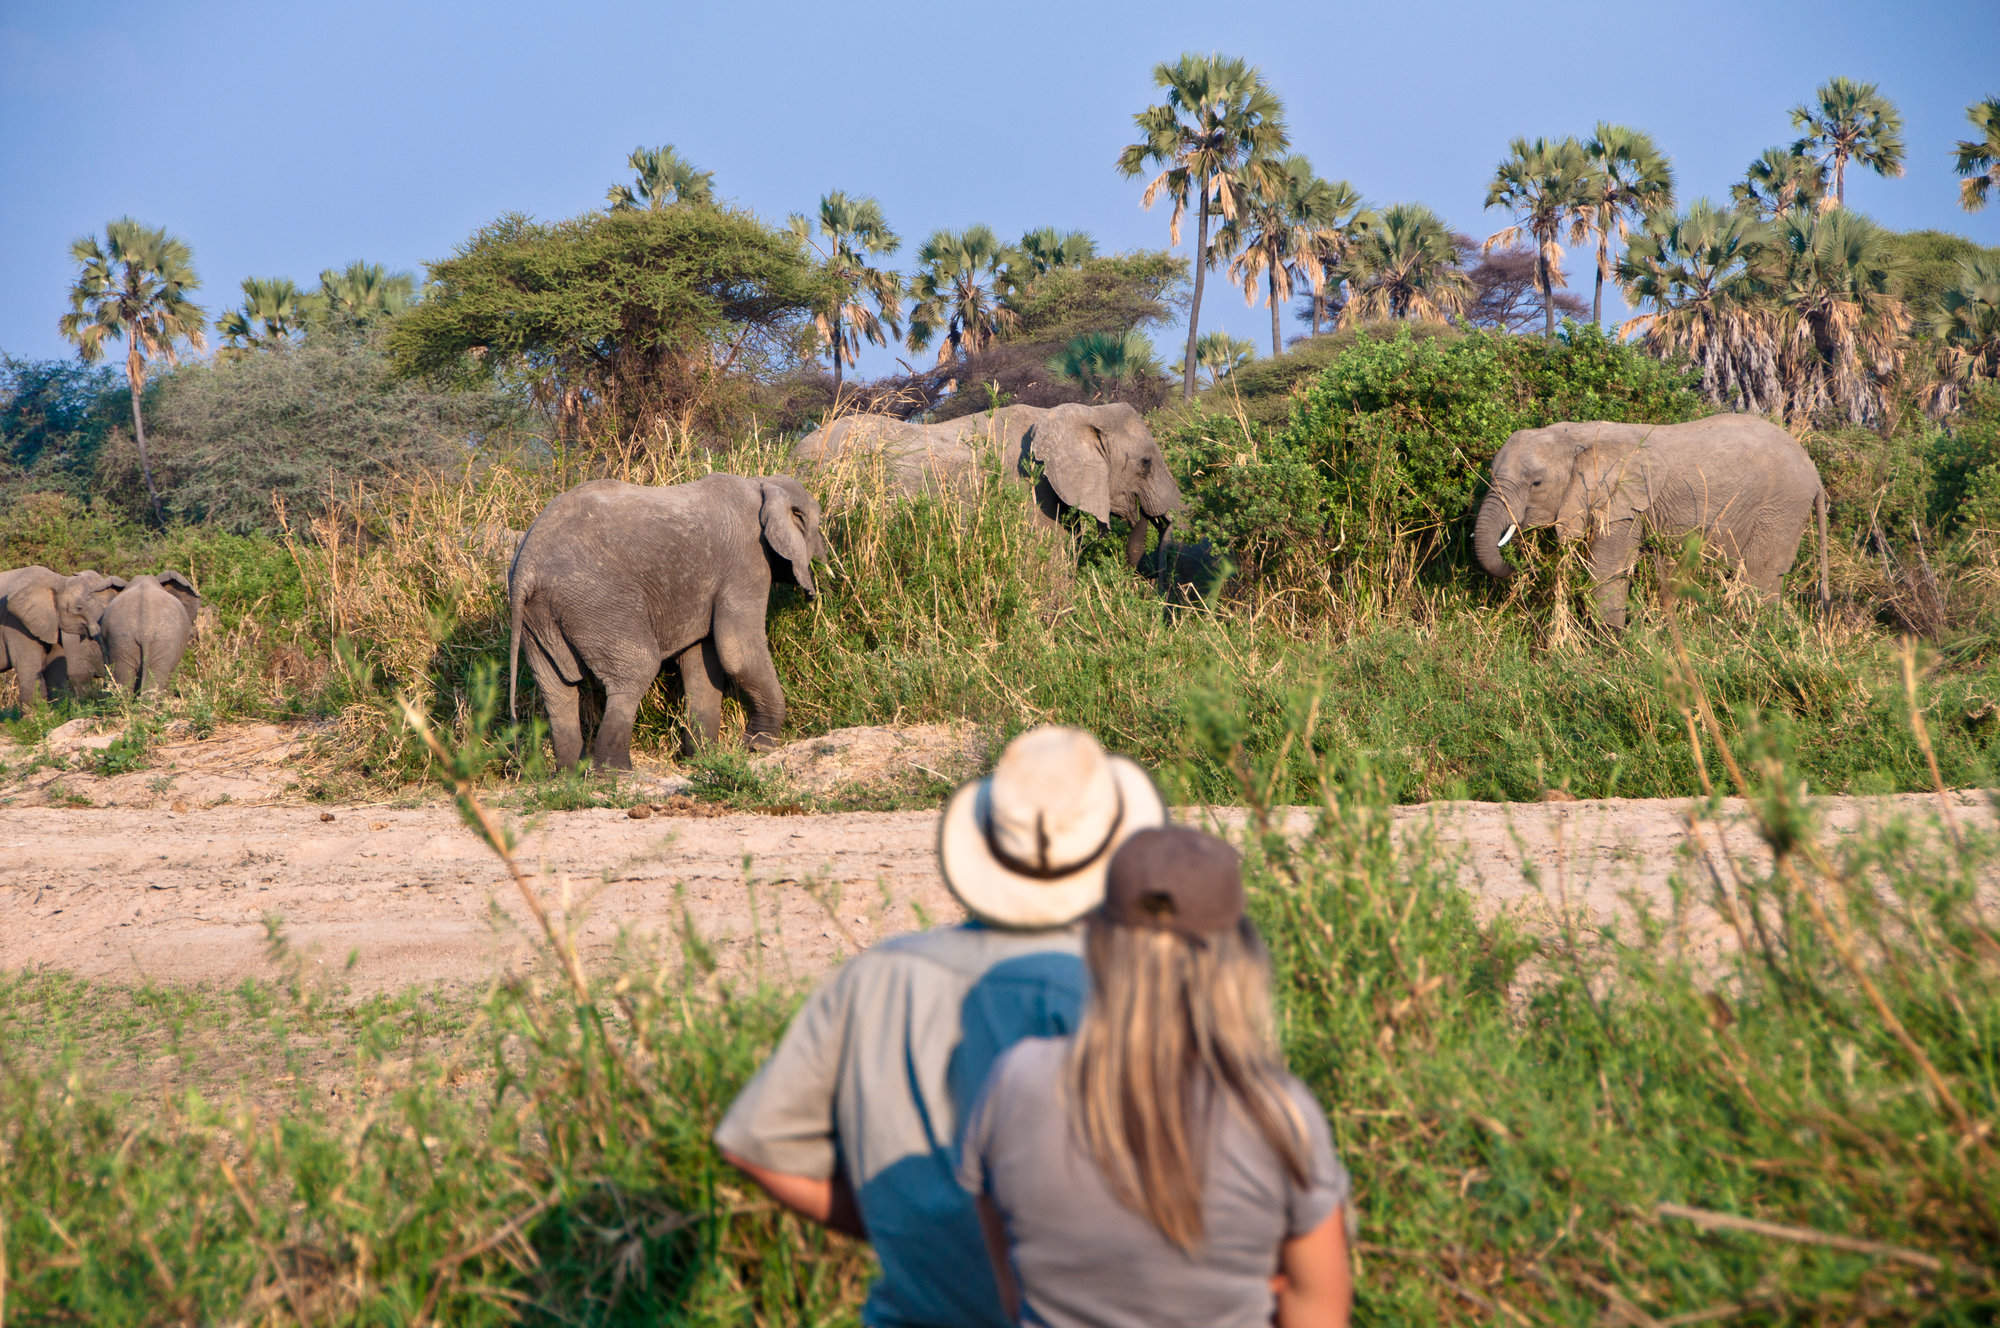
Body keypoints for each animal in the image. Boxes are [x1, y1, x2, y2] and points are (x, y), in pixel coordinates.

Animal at [516, 474, 836, 768]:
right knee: (636, 669)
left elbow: (701, 662)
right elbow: (736, 651)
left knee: (557, 689)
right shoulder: (747, 559)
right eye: (817, 525)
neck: (762, 484)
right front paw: (760, 747)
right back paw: (616, 773)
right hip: (596, 600)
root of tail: (525, 569)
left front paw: (704, 759)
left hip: (539, 619)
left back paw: (572, 775)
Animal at [1472, 416, 1832, 628]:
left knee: (1758, 578)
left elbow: (1606, 570)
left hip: (1780, 508)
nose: (1518, 566)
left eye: (1535, 483)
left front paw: (1609, 645)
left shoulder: (1625, 502)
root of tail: (1814, 472)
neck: (1576, 436)